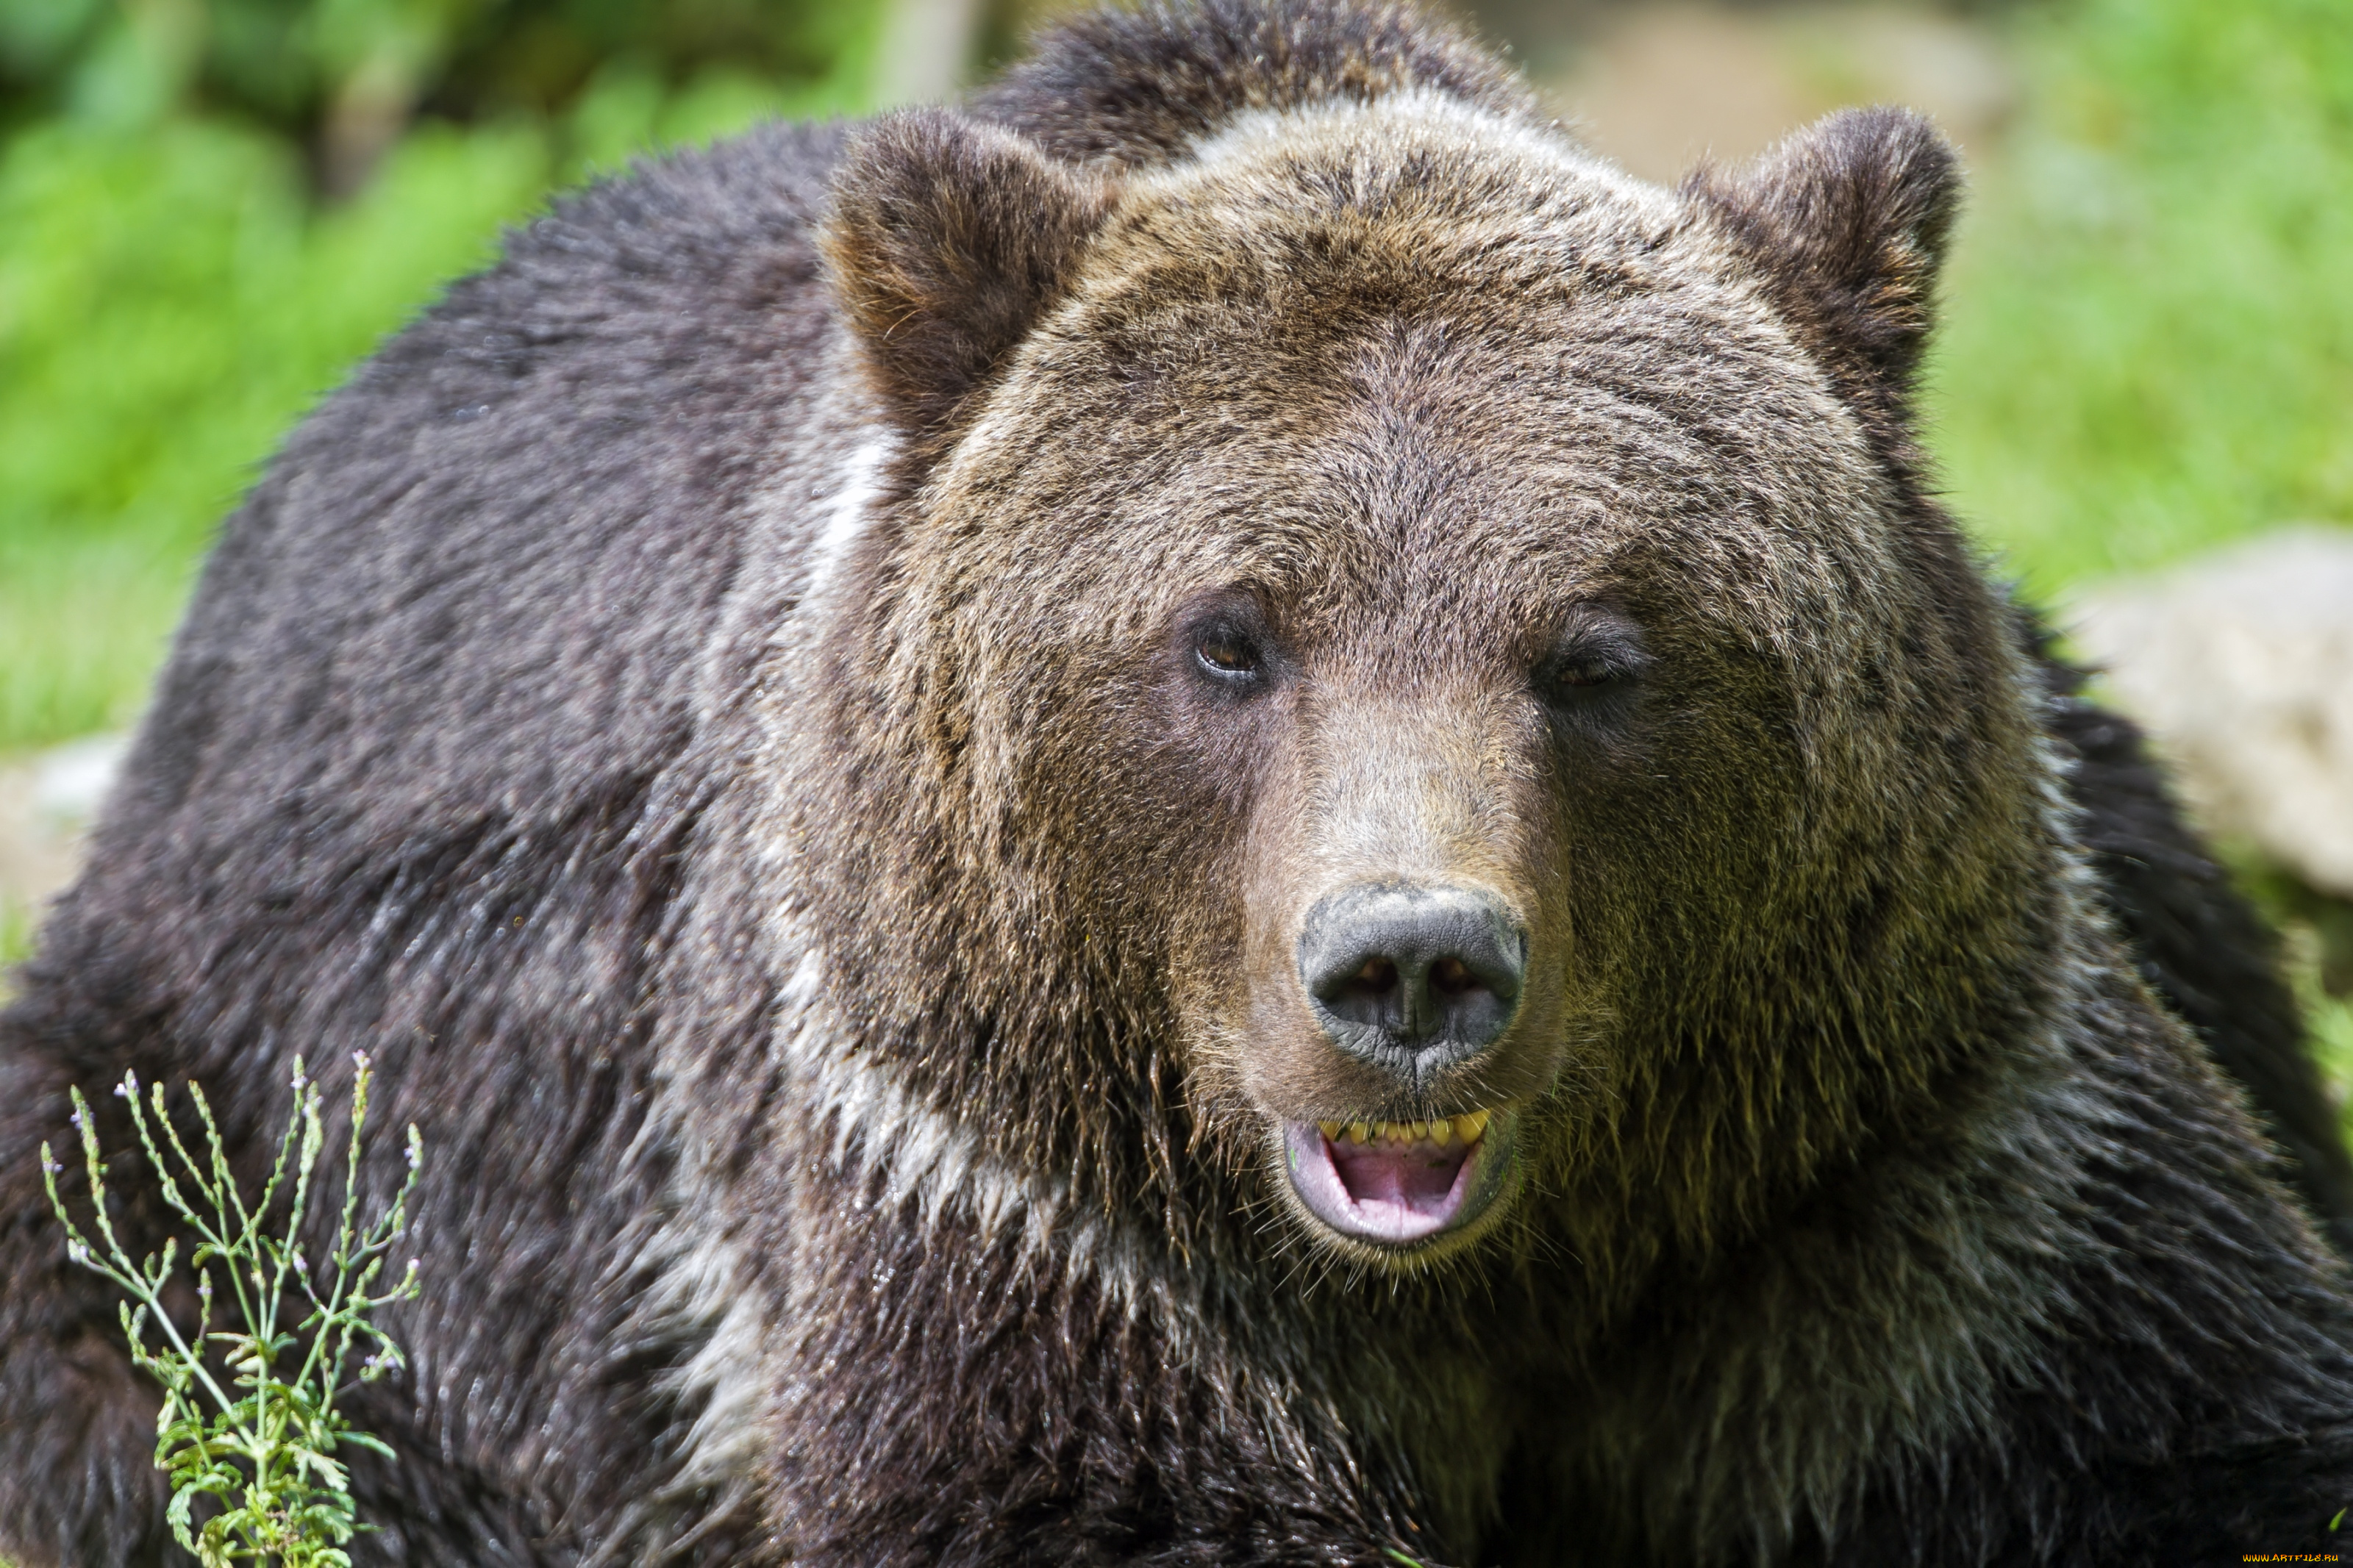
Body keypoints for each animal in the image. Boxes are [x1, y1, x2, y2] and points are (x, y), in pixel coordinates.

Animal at [4, 0, 2353, 1561]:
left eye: (1602, 648)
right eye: (1230, 635)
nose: (1412, 969)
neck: (1515, 1274)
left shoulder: (1901, 1162)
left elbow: (2191, 1436)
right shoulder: (1024, 1198)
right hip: (251, 1109)